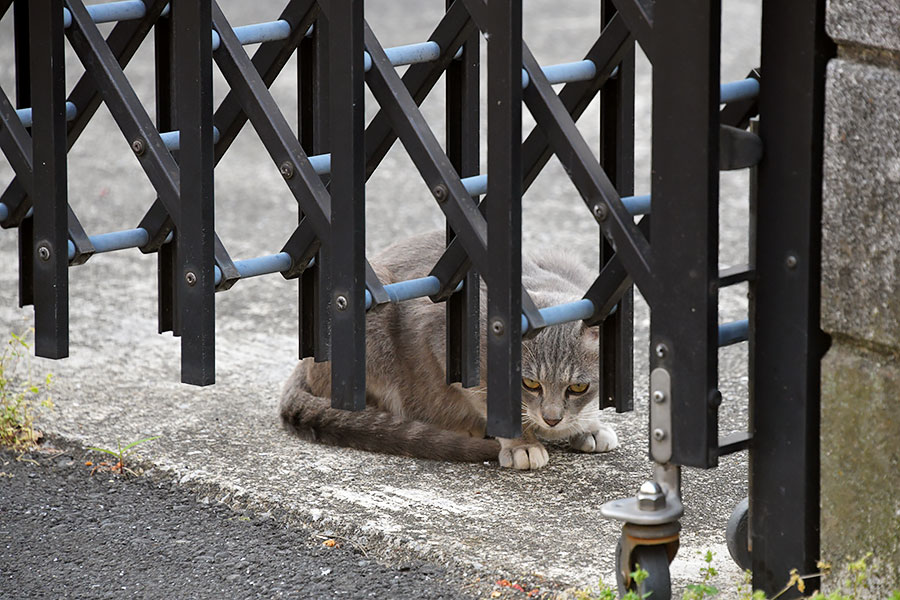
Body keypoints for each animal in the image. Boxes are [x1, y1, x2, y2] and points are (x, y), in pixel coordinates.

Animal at [282, 230, 620, 468]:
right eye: (530, 383)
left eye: (578, 387)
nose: (552, 419)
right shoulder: (444, 341)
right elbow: (491, 402)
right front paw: (522, 443)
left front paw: (587, 426)